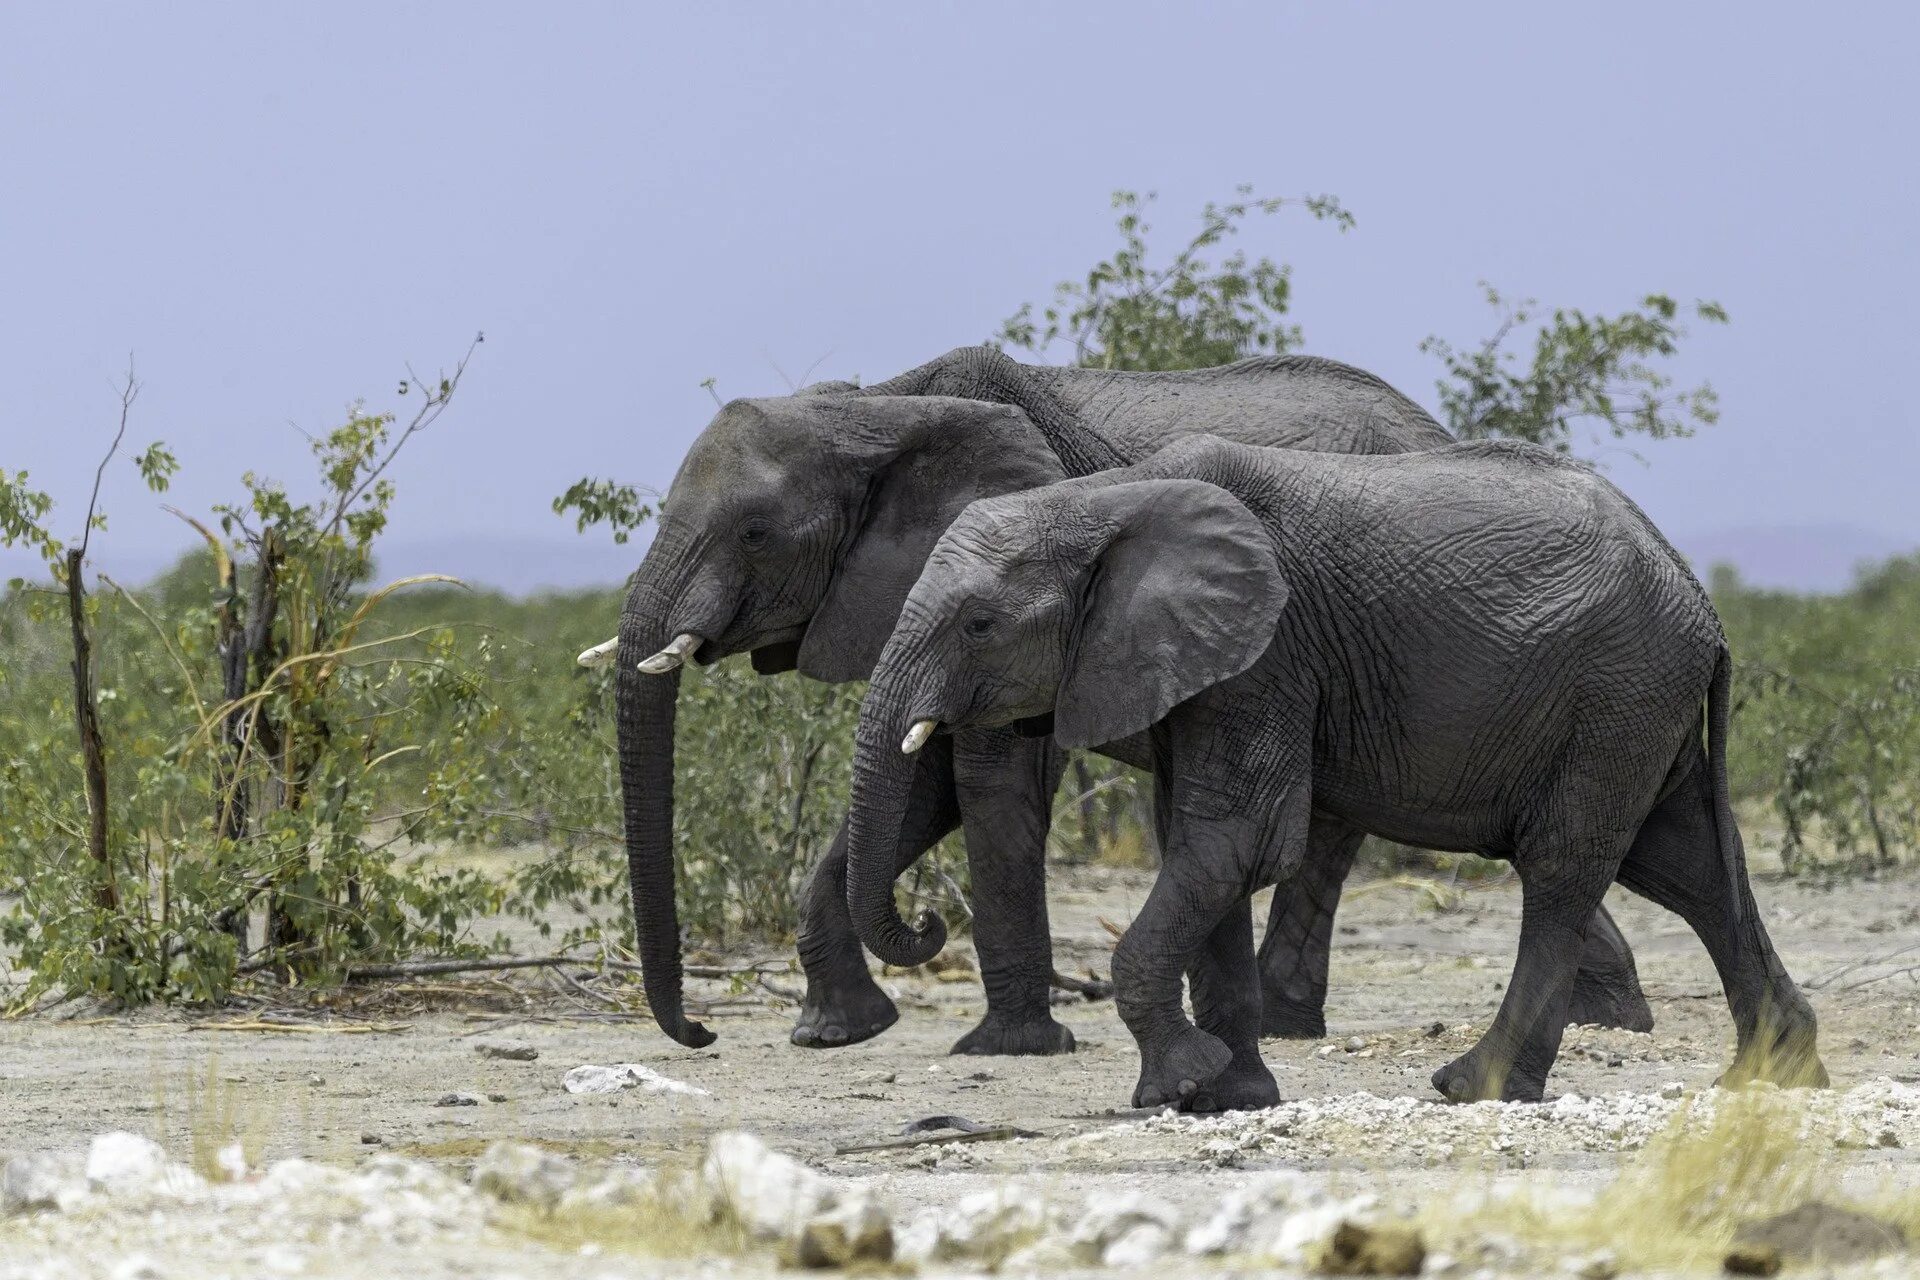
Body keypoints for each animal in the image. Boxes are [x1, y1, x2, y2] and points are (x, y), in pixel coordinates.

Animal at [595, 345, 1651, 1059]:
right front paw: (835, 1035)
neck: (876, 408)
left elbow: (989, 783)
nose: (700, 1034)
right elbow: (922, 783)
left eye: (755, 533)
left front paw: (1011, 1047)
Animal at [844, 433, 1827, 1113]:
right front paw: (1229, 1096)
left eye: (978, 625)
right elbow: (1200, 852)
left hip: (1617, 693)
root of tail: (1700, 599)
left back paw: (1472, 1087)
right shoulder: (1201, 671)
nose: (929, 923)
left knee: (1564, 869)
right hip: (1639, 705)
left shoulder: (1267, 655)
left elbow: (1235, 843)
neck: (1099, 500)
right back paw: (1772, 1079)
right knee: (1686, 867)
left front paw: (1176, 1088)